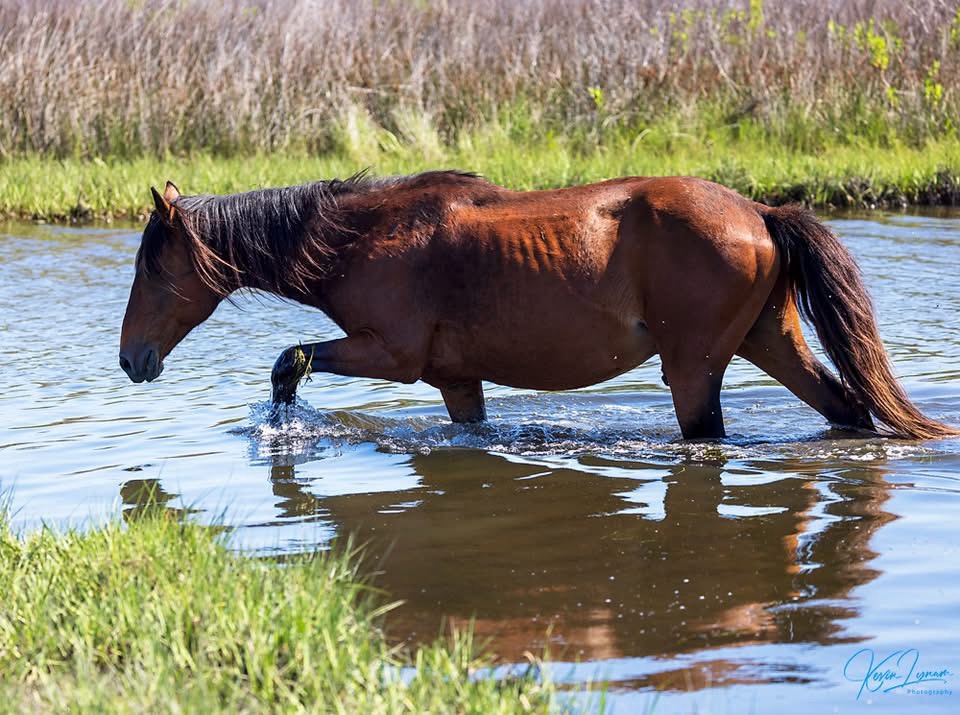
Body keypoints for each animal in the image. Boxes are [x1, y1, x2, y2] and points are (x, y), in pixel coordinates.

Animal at [118, 173, 952, 442]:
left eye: (152, 268)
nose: (131, 359)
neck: (362, 237)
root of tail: (759, 211)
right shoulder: (455, 380)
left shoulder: (391, 354)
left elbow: (288, 362)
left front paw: (284, 430)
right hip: (769, 342)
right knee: (847, 407)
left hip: (695, 367)